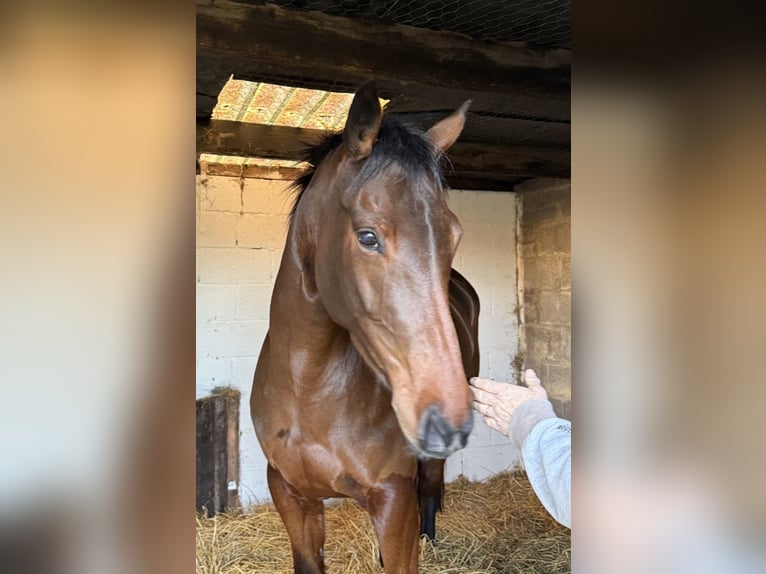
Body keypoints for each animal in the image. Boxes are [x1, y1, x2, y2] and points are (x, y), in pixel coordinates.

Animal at [250, 82, 480, 574]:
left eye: (453, 237)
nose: (446, 417)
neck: (310, 388)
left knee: (429, 486)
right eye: (368, 236)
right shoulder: (291, 494)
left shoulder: (392, 498)